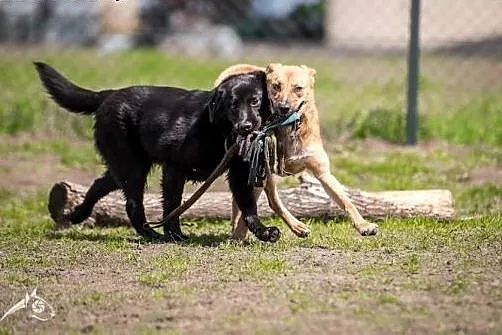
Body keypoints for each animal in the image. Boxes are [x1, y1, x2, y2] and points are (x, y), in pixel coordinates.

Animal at [34, 62, 280, 244]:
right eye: (232, 105)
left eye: (255, 101)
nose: (245, 127)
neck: (218, 129)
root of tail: (109, 95)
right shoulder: (174, 169)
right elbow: (172, 205)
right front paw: (174, 235)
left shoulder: (239, 174)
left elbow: (249, 207)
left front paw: (264, 232)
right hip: (131, 168)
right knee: (132, 205)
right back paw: (152, 235)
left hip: (127, 167)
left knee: (98, 185)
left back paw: (78, 214)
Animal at [214, 63, 378, 239]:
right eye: (276, 86)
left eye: (298, 88)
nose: (283, 108)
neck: (288, 127)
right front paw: (242, 234)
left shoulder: (322, 171)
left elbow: (345, 201)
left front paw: (364, 225)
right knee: (266, 201)